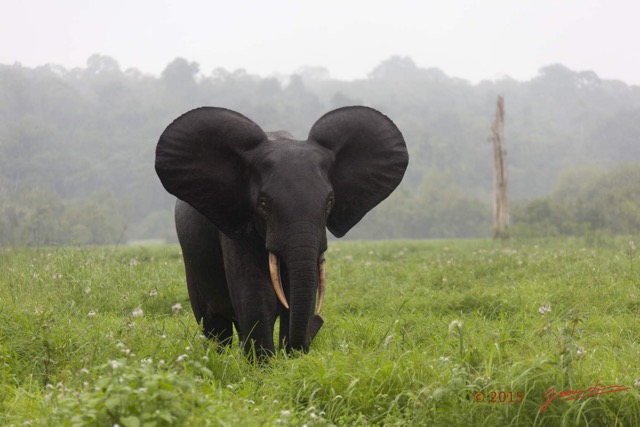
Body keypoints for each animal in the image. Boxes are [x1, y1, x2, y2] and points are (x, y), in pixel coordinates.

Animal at [152, 106, 408, 358]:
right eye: (263, 203)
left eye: (329, 201)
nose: (319, 320)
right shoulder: (237, 227)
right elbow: (255, 294)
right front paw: (264, 365)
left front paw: (289, 361)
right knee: (215, 325)